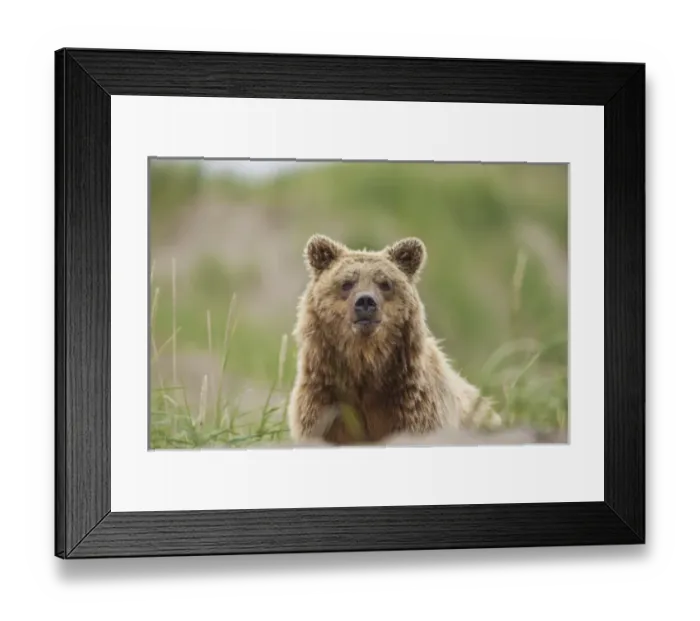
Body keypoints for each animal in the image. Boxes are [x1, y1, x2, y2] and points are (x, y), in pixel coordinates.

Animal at [286, 234, 503, 446]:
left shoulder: (412, 404)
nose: (365, 302)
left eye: (385, 283)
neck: (364, 364)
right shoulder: (324, 402)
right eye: (347, 283)